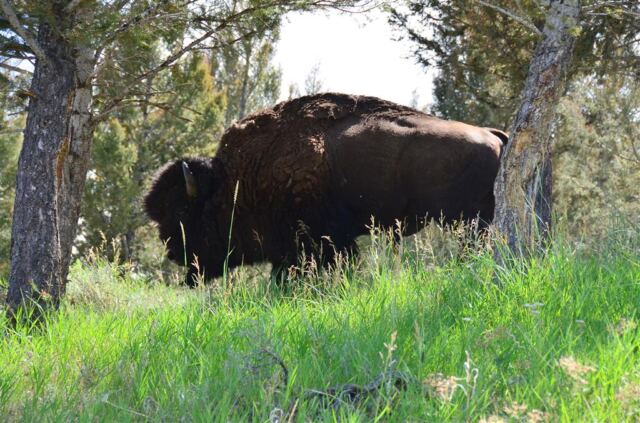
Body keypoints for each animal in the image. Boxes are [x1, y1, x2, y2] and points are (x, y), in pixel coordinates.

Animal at [144, 93, 508, 286]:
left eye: (182, 210)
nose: (172, 252)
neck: (236, 182)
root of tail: (491, 135)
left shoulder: (321, 241)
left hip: (468, 222)